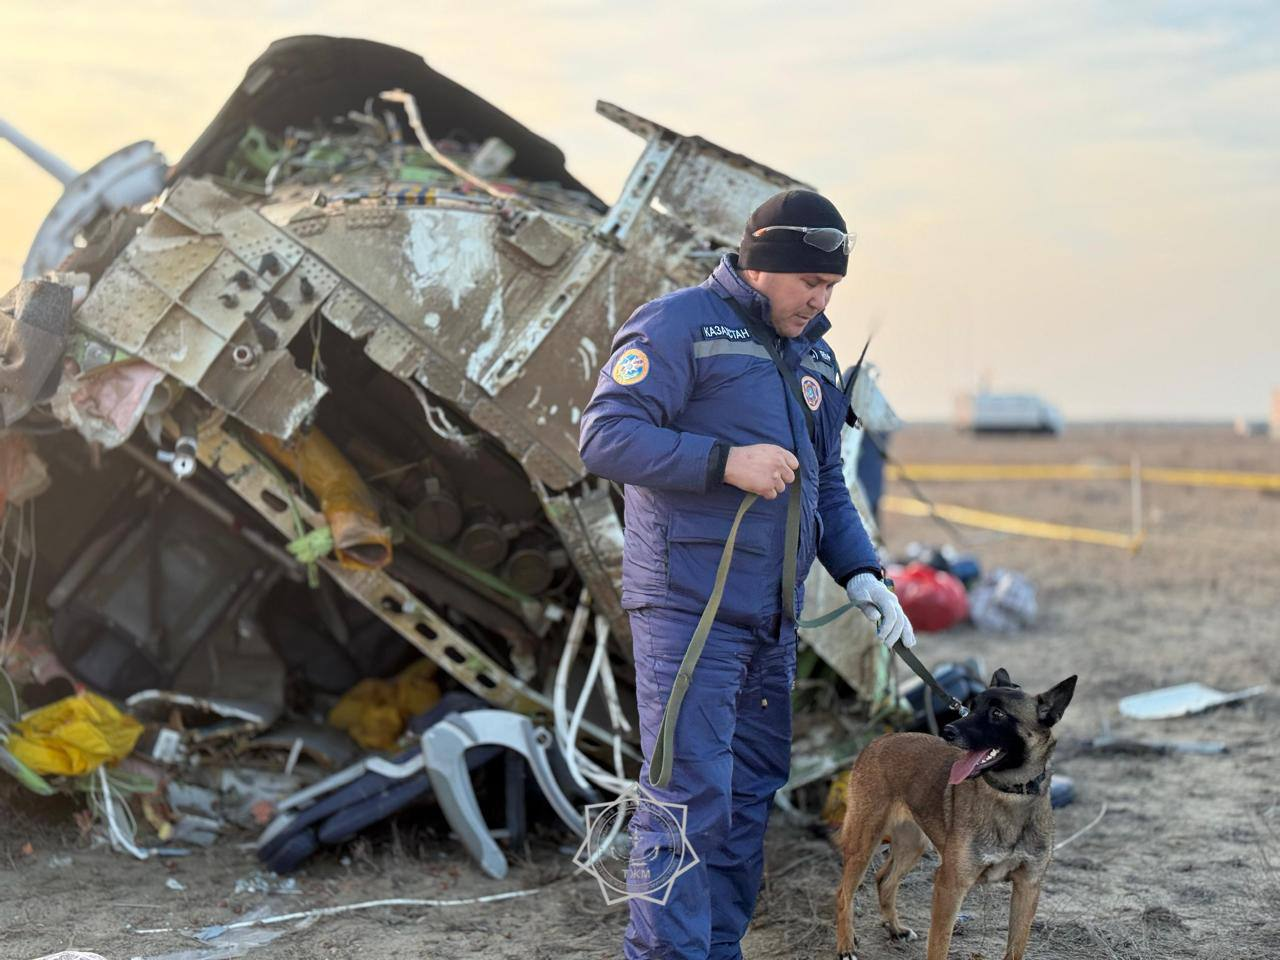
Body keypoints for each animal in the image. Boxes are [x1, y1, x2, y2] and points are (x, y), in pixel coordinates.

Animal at [834, 670, 1075, 960]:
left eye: (997, 714)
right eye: (972, 707)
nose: (947, 731)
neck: (1010, 796)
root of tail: (880, 739)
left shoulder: (1027, 888)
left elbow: (1015, 948)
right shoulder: (950, 886)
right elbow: (939, 946)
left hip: (912, 845)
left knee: (884, 880)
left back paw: (895, 929)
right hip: (864, 843)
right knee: (842, 893)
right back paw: (846, 945)